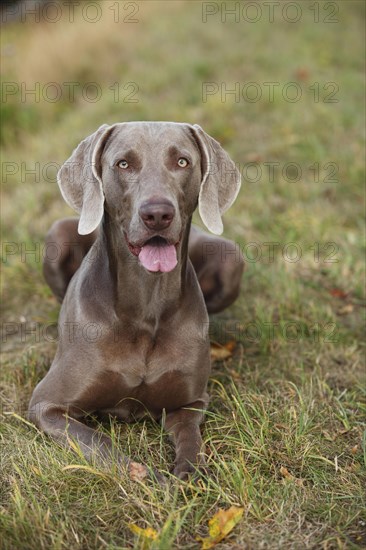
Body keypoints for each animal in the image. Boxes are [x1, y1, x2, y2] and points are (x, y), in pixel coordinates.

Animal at [28, 122, 243, 484]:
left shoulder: (191, 403)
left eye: (182, 162)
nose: (157, 213)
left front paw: (188, 475)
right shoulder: (46, 405)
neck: (146, 305)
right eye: (123, 164)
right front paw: (152, 478)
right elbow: (103, 446)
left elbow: (190, 441)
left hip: (231, 259)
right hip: (57, 236)